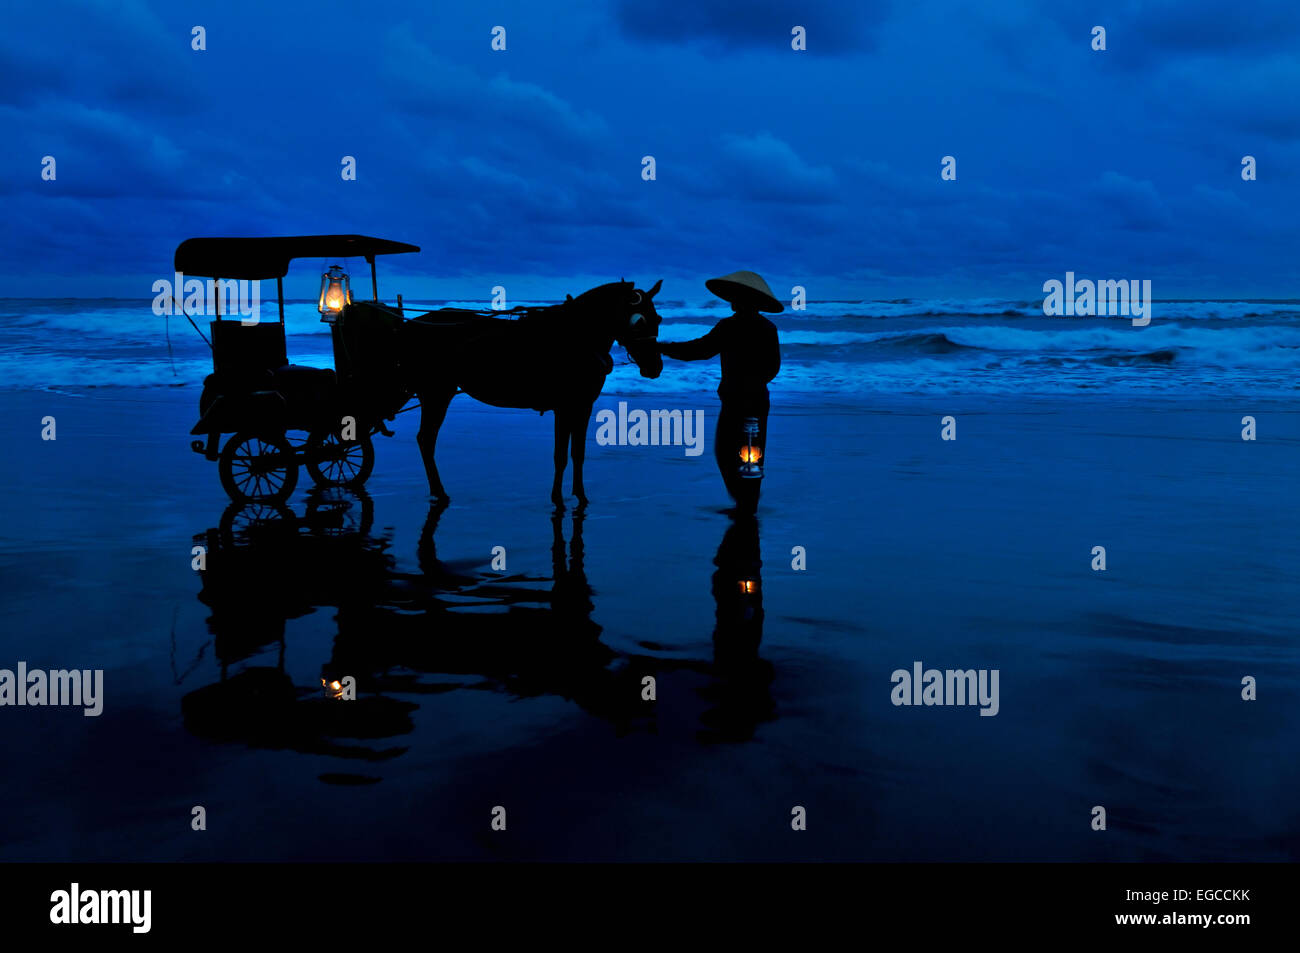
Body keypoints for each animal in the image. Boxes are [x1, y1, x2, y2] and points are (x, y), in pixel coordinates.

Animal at [397, 278, 665, 504]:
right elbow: (560, 455)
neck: (576, 338)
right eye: (639, 322)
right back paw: (439, 491)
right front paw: (557, 498)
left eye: (658, 319)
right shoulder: (564, 408)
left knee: (426, 439)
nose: (655, 367)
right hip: (436, 393)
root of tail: (413, 324)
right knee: (426, 439)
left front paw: (580, 495)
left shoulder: (582, 406)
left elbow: (578, 453)